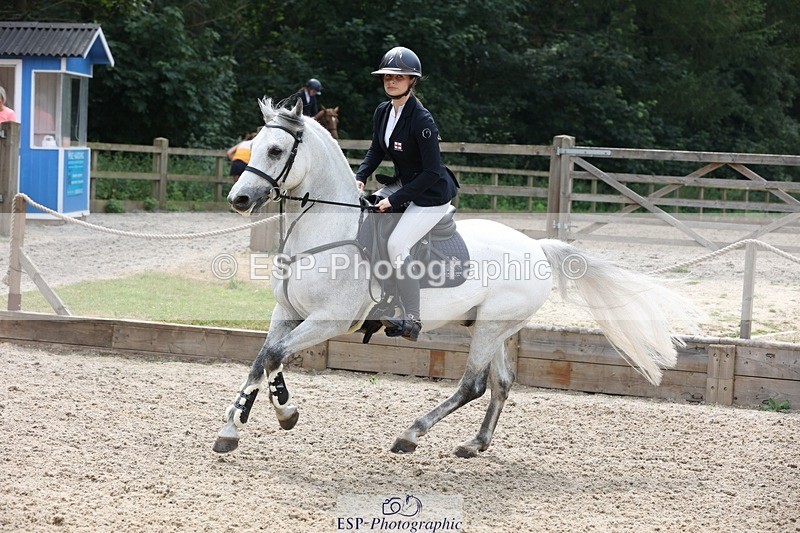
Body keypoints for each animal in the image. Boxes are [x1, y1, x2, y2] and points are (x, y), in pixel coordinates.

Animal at [214, 97, 698, 457]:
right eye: (254, 145)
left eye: (276, 151)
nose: (239, 199)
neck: (327, 230)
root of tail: (538, 248)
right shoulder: (287, 313)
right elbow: (264, 358)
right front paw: (243, 425)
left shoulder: (329, 320)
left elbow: (274, 356)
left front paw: (271, 418)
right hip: (491, 326)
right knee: (501, 382)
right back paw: (475, 444)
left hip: (490, 327)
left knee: (473, 384)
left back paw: (411, 435)